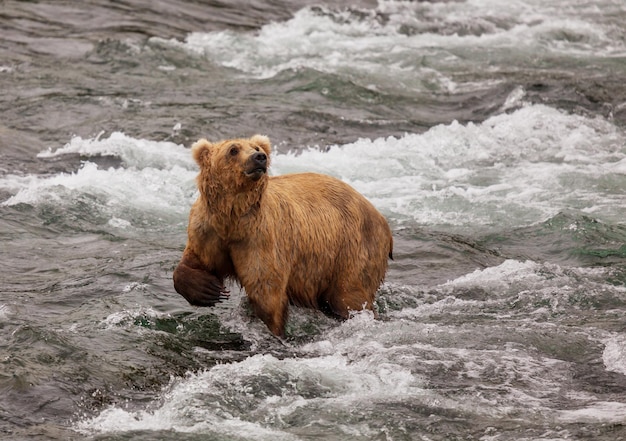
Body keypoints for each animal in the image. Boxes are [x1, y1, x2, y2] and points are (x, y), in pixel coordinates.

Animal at [173, 136, 390, 336]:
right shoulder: (208, 232)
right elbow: (194, 262)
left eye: (257, 148)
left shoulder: (260, 238)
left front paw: (274, 331)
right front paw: (207, 289)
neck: (233, 218)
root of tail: (380, 215)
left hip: (353, 248)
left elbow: (266, 292)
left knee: (349, 296)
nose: (259, 157)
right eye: (233, 150)